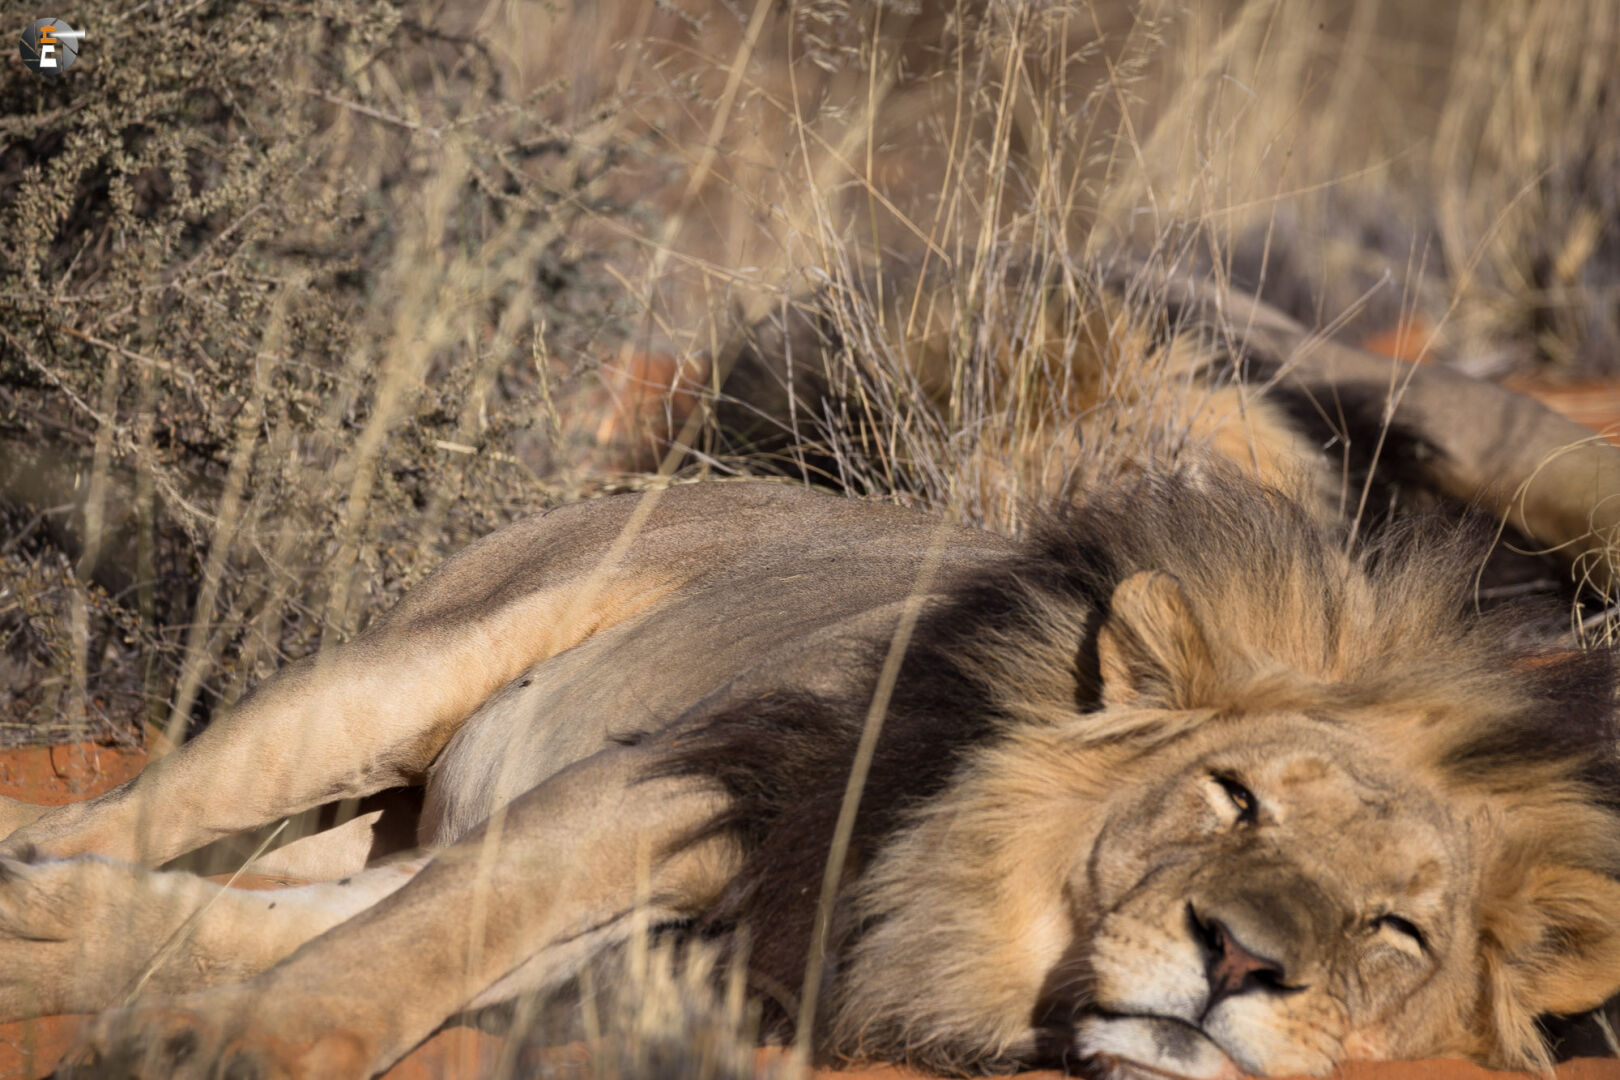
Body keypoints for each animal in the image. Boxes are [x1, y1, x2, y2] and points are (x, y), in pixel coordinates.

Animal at [2, 291, 1620, 1079]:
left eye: (1398, 930)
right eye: (1231, 800)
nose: (1240, 963)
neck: (960, 909)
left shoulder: (685, 948)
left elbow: (366, 943)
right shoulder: (683, 782)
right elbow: (394, 957)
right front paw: (227, 1051)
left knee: (240, 893)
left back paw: (45, 921)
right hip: (395, 679)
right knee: (134, 823)